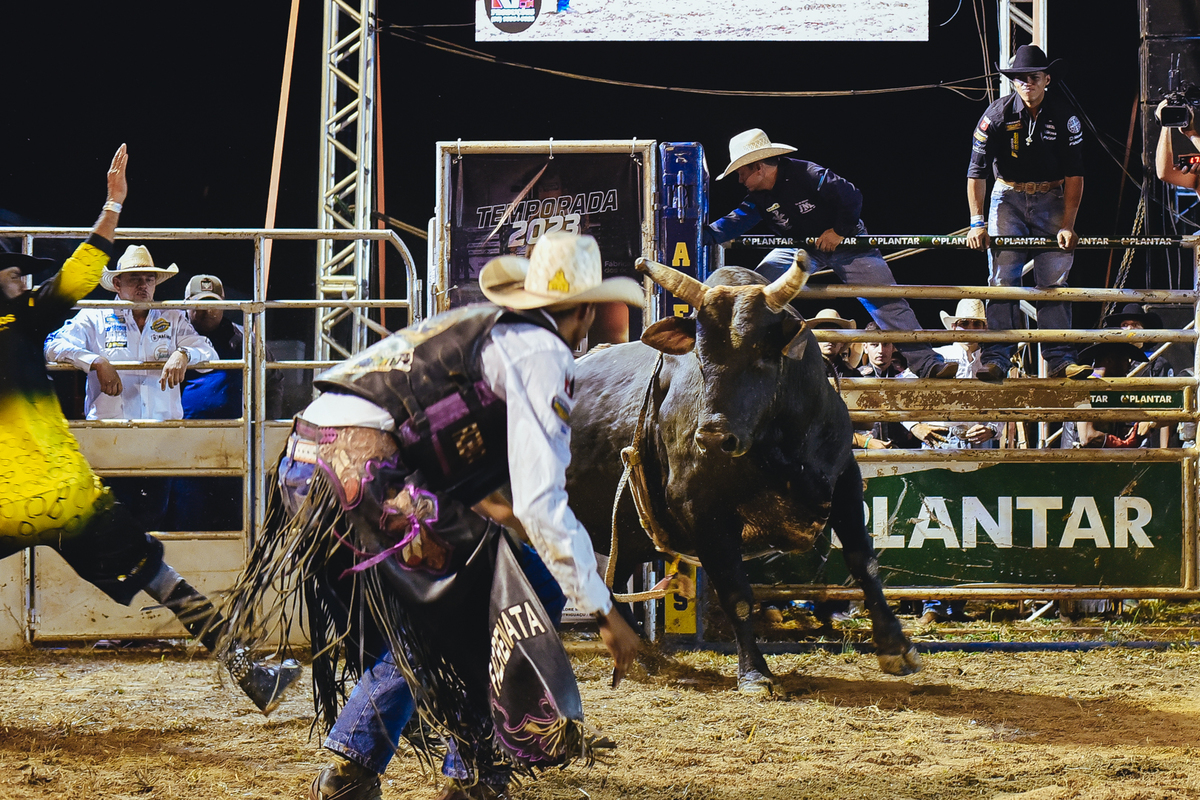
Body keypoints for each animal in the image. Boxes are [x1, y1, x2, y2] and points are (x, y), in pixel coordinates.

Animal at [565, 253, 922, 693]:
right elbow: (736, 593)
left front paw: (895, 647)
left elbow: (863, 561)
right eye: (700, 357)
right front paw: (754, 671)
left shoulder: (844, 479)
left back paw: (644, 654)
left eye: (762, 356)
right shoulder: (703, 512)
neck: (776, 445)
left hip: (625, 533)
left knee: (610, 583)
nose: (714, 437)